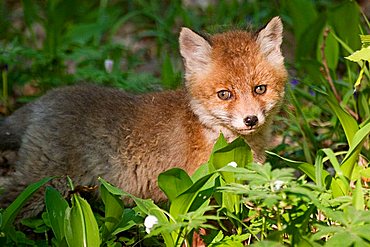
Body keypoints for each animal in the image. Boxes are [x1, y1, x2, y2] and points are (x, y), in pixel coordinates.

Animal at [0, 16, 290, 216]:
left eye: (259, 89)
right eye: (225, 94)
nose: (250, 120)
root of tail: (46, 98)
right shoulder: (198, 191)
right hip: (40, 185)